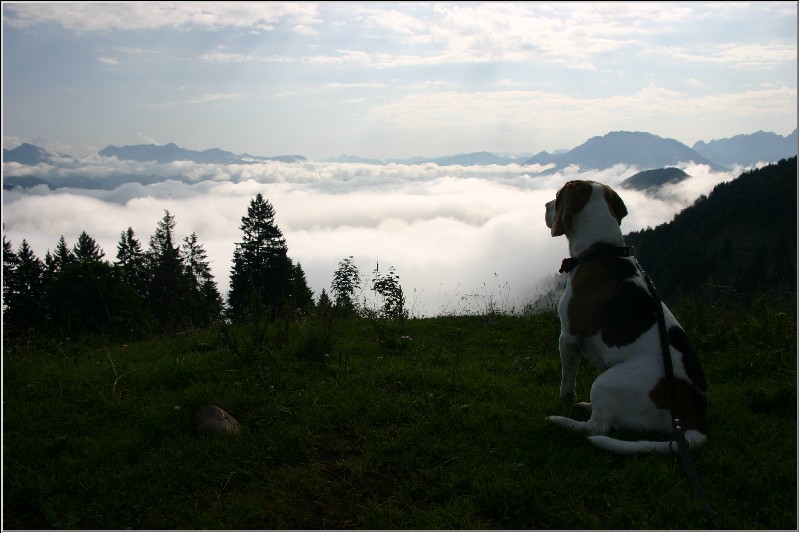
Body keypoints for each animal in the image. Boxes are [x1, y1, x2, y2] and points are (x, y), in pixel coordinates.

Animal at [544, 180, 708, 454]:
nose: (546, 204)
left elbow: (567, 380)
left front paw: (565, 400)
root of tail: (695, 420)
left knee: (598, 428)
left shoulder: (568, 336)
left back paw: (563, 421)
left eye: (557, 196)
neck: (601, 251)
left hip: (607, 381)